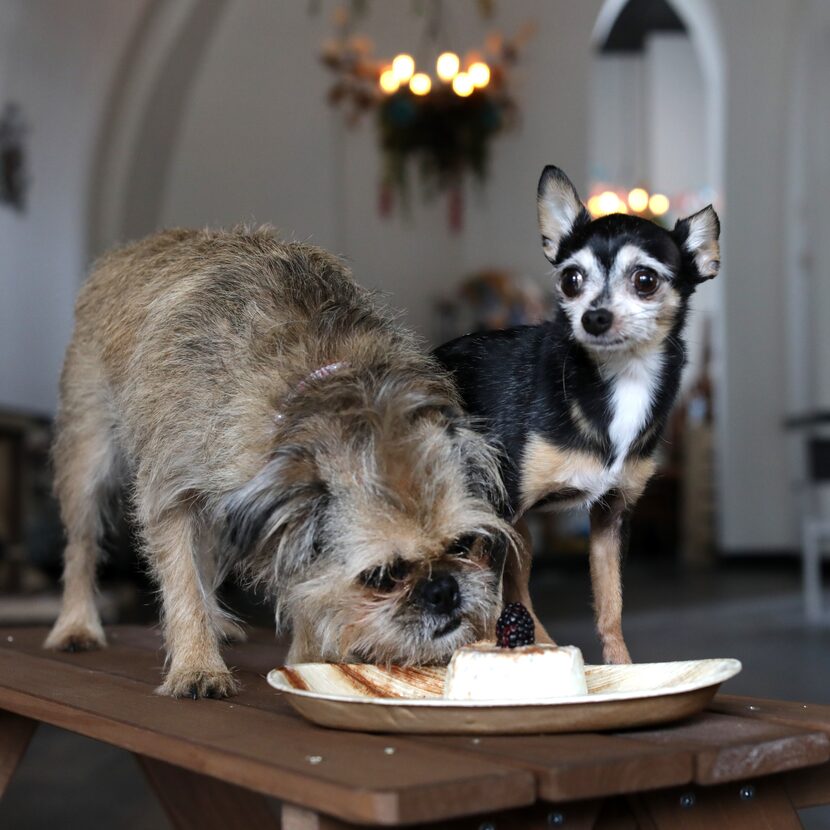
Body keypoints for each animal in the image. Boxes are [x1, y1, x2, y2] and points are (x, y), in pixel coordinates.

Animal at [45, 226, 516, 696]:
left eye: (464, 545)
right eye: (381, 577)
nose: (444, 590)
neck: (323, 390)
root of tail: (131, 249)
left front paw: (307, 657)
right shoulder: (172, 495)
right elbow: (182, 584)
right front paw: (197, 667)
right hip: (87, 454)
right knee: (82, 544)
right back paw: (77, 626)